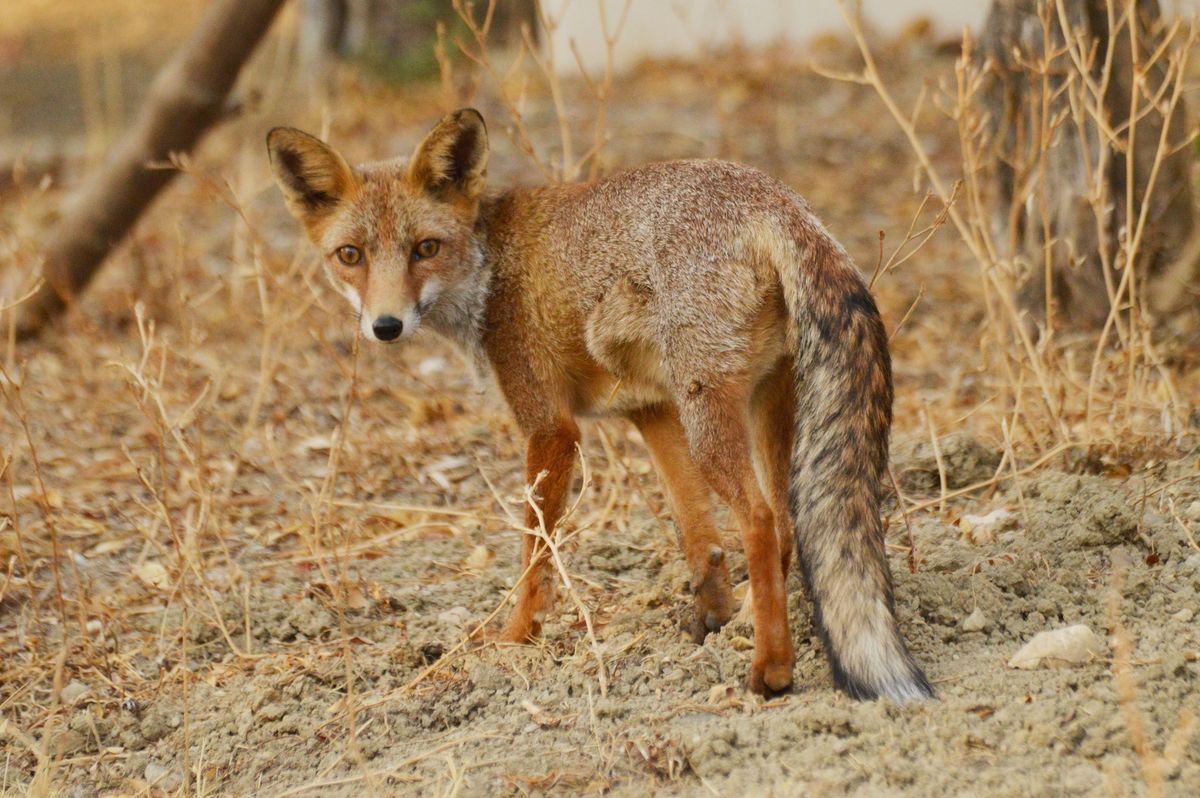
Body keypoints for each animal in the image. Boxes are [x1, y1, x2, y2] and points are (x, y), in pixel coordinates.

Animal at [267, 109, 931, 700]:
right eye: (350, 256)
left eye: (425, 248)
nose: (386, 326)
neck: (489, 265)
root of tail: (780, 201)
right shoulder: (651, 411)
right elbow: (699, 535)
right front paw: (711, 616)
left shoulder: (550, 427)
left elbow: (536, 557)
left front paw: (515, 641)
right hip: (767, 402)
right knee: (788, 518)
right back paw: (750, 624)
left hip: (710, 412)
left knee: (761, 519)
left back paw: (771, 670)